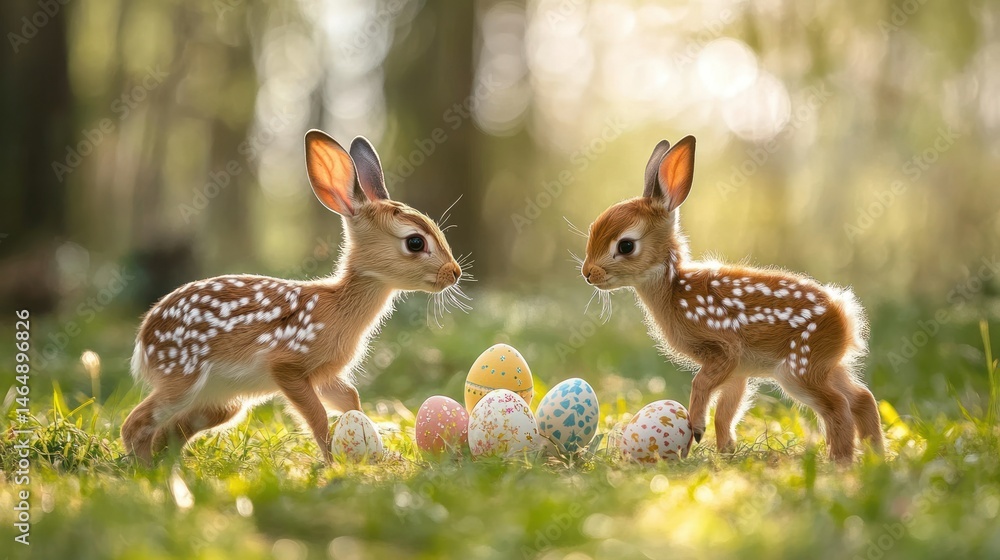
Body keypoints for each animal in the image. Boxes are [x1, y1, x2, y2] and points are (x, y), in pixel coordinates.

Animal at [121, 130, 468, 464]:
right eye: (415, 242)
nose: (454, 272)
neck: (337, 307)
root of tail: (143, 339)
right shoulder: (288, 365)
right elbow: (316, 416)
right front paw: (333, 461)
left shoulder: (326, 374)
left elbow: (350, 399)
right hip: (182, 376)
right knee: (135, 424)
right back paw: (148, 472)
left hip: (222, 401)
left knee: (172, 429)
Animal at [579, 136, 883, 463]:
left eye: (625, 245)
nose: (588, 273)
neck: (675, 289)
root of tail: (844, 314)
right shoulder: (740, 370)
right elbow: (726, 410)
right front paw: (726, 451)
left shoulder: (725, 347)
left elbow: (702, 386)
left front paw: (696, 430)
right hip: (827, 364)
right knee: (862, 397)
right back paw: (877, 455)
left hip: (799, 366)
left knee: (837, 406)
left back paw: (840, 462)